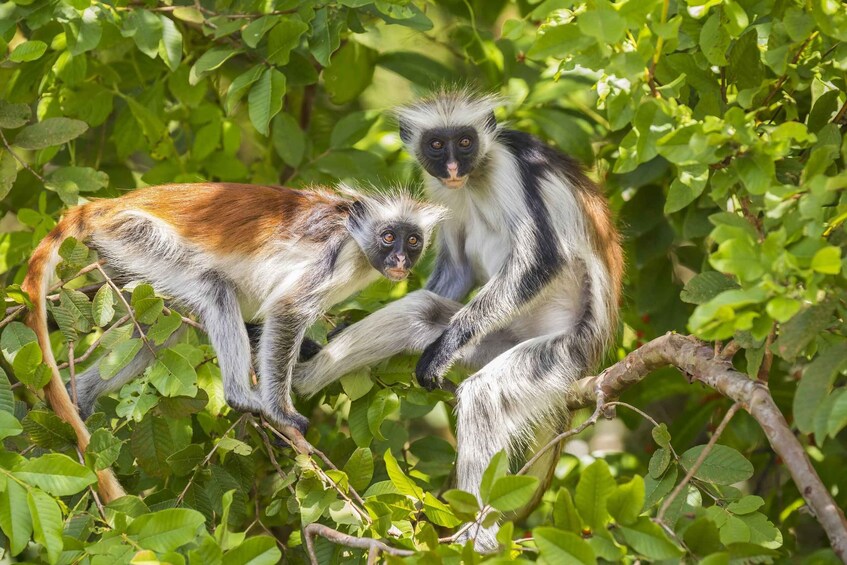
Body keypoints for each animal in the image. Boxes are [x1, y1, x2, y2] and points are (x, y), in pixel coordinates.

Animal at [21, 182, 444, 502]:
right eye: (388, 237)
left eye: (412, 240)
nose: (401, 259)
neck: (354, 235)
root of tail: (111, 204)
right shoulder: (333, 254)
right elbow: (287, 310)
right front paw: (281, 412)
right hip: (135, 234)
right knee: (215, 288)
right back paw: (242, 396)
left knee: (162, 330)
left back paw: (82, 395)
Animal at [294, 91, 628, 548]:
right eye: (437, 145)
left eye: (466, 143)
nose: (453, 167)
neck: (475, 177)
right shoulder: (439, 188)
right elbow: (455, 270)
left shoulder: (509, 166)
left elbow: (542, 259)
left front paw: (444, 349)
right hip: (497, 338)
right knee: (421, 310)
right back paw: (296, 380)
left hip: (562, 351)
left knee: (485, 394)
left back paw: (478, 538)